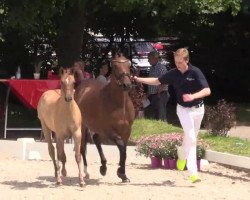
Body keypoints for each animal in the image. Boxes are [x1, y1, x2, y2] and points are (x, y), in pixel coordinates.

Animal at [75, 54, 135, 182]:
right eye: (115, 66)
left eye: (128, 64)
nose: (126, 85)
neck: (120, 104)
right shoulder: (109, 131)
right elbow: (121, 147)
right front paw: (120, 172)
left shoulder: (127, 131)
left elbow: (124, 150)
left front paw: (123, 175)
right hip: (83, 126)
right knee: (82, 147)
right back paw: (86, 172)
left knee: (96, 139)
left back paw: (103, 167)